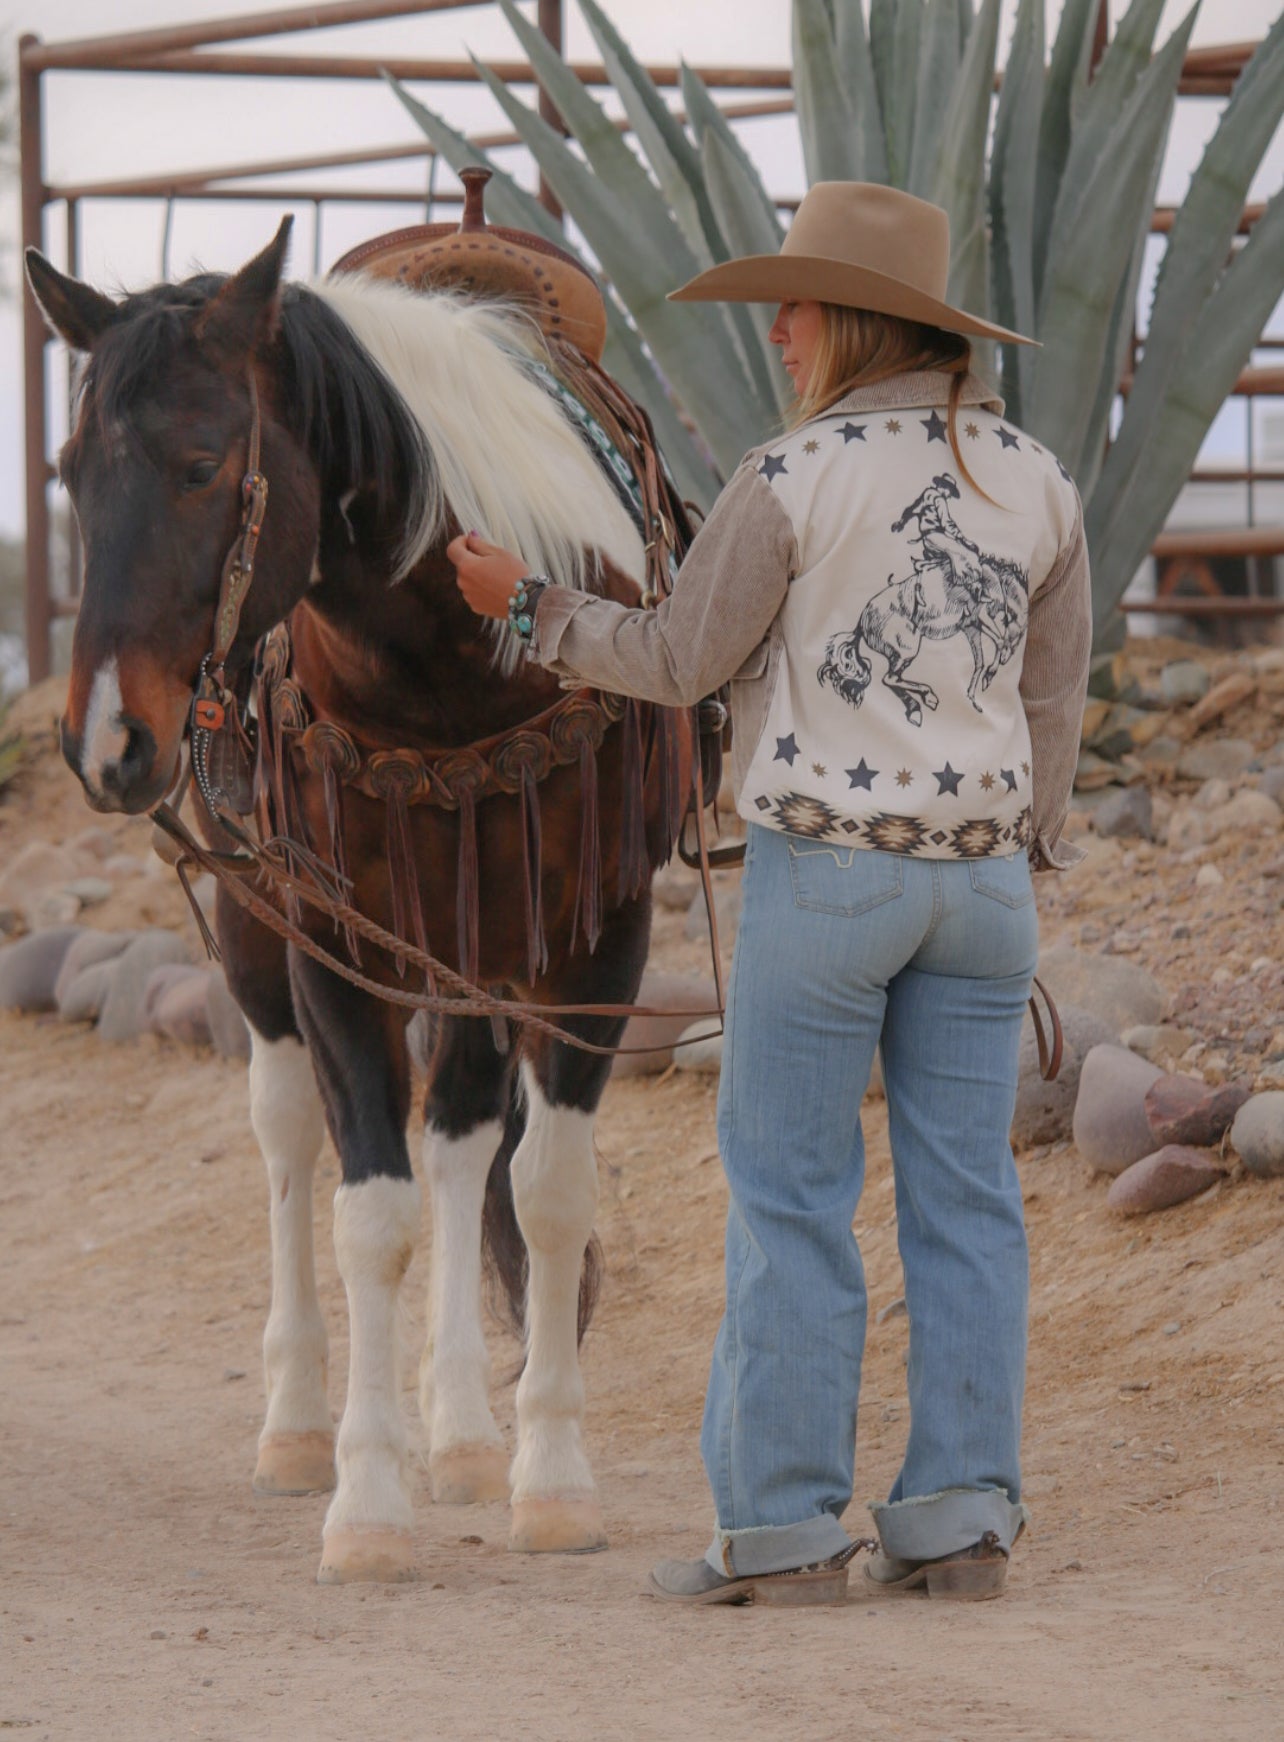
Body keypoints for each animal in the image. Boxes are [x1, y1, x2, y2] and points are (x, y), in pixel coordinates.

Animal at [27, 210, 689, 1588]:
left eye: (200, 462)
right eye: (64, 469)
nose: (107, 741)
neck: (452, 665)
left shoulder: (592, 938)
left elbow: (542, 1189)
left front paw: (548, 1476)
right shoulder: (331, 938)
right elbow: (366, 1211)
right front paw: (368, 1497)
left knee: (464, 1139)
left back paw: (467, 1431)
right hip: (259, 933)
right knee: (289, 1134)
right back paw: (295, 1424)